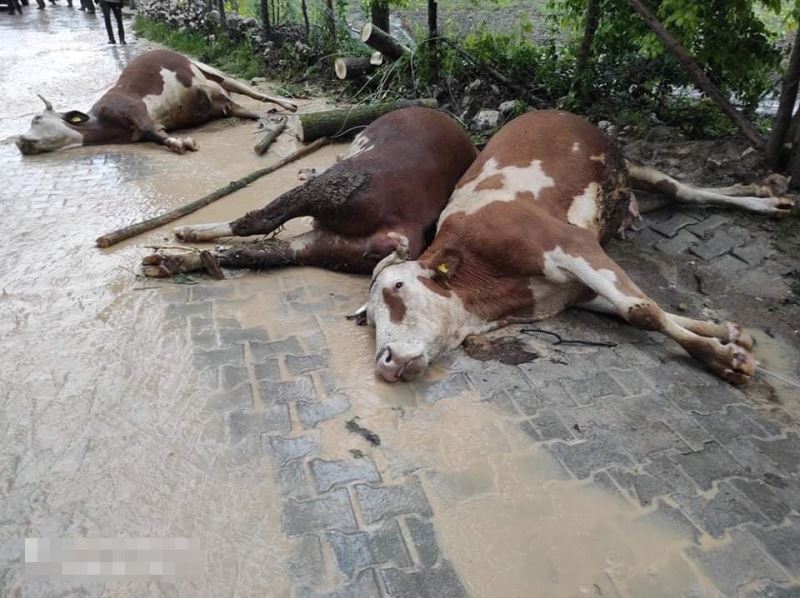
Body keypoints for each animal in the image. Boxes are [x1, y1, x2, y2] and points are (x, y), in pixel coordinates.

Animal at [14, 49, 296, 156]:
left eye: (37, 119)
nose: (19, 140)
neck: (102, 124)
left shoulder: (132, 108)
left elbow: (152, 130)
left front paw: (183, 142)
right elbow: (153, 134)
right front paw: (178, 141)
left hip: (212, 74)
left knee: (251, 91)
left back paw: (287, 104)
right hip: (218, 96)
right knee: (242, 108)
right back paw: (263, 119)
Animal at [141, 106, 478, 276]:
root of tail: (405, 229)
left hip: (335, 193)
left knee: (258, 222)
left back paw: (184, 234)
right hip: (329, 246)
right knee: (261, 251)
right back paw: (165, 263)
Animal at [368, 110, 792, 386]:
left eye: (398, 287)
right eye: (369, 320)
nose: (384, 362)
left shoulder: (572, 244)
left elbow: (642, 311)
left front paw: (724, 359)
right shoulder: (574, 292)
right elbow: (648, 310)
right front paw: (727, 334)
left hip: (628, 165)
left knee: (683, 189)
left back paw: (767, 198)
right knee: (672, 198)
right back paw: (763, 191)